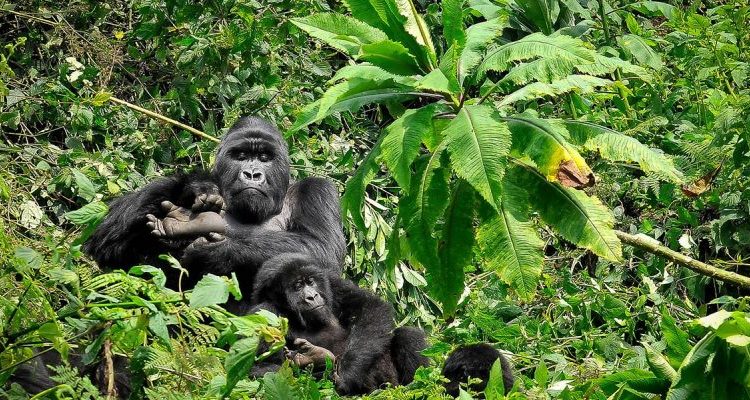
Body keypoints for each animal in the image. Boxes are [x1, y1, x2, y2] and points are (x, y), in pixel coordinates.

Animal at [83, 115, 346, 312]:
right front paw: (197, 186)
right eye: (241, 156)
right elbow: (107, 243)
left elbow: (322, 251)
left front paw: (215, 252)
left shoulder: (317, 190)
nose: (252, 174)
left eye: (264, 158)